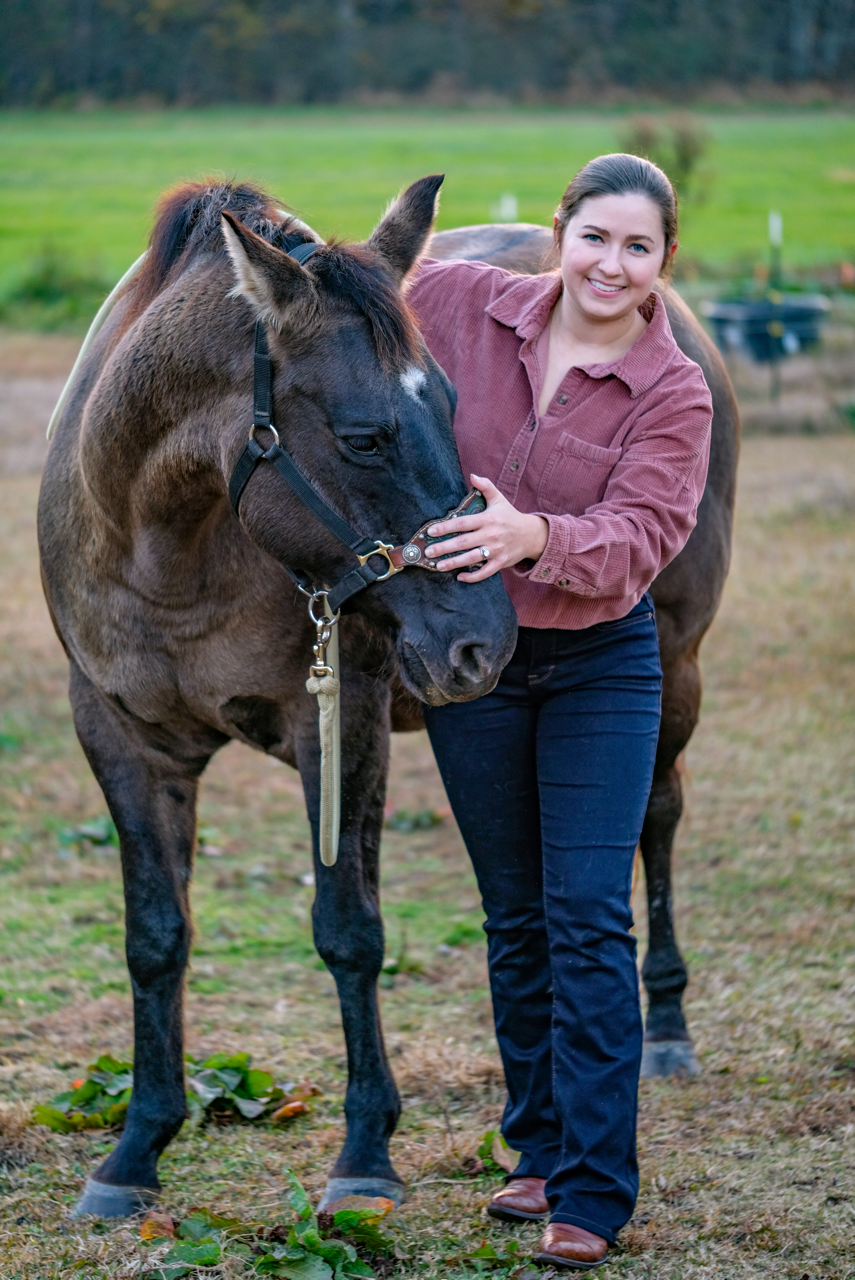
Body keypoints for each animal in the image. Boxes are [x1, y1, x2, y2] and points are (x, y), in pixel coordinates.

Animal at [37, 176, 519, 1218]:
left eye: (454, 404)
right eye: (363, 437)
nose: (484, 643)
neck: (165, 547)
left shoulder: (340, 723)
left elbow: (348, 931)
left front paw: (365, 1153)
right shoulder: (117, 735)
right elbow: (155, 938)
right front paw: (136, 1148)